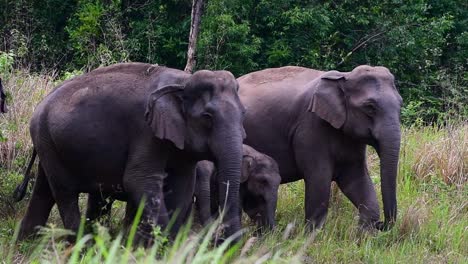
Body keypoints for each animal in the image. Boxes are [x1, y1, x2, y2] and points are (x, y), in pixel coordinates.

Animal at [16, 62, 247, 243]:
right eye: (207, 117)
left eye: (243, 113)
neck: (183, 82)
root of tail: (39, 106)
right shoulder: (145, 130)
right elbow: (139, 180)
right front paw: (164, 248)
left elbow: (182, 187)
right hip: (47, 140)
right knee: (64, 192)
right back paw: (82, 247)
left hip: (49, 142)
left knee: (44, 190)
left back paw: (26, 243)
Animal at [238, 65, 402, 231]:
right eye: (370, 107)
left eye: (400, 104)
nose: (381, 224)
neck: (344, 76)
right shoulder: (310, 128)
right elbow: (319, 179)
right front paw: (312, 234)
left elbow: (356, 178)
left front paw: (364, 232)